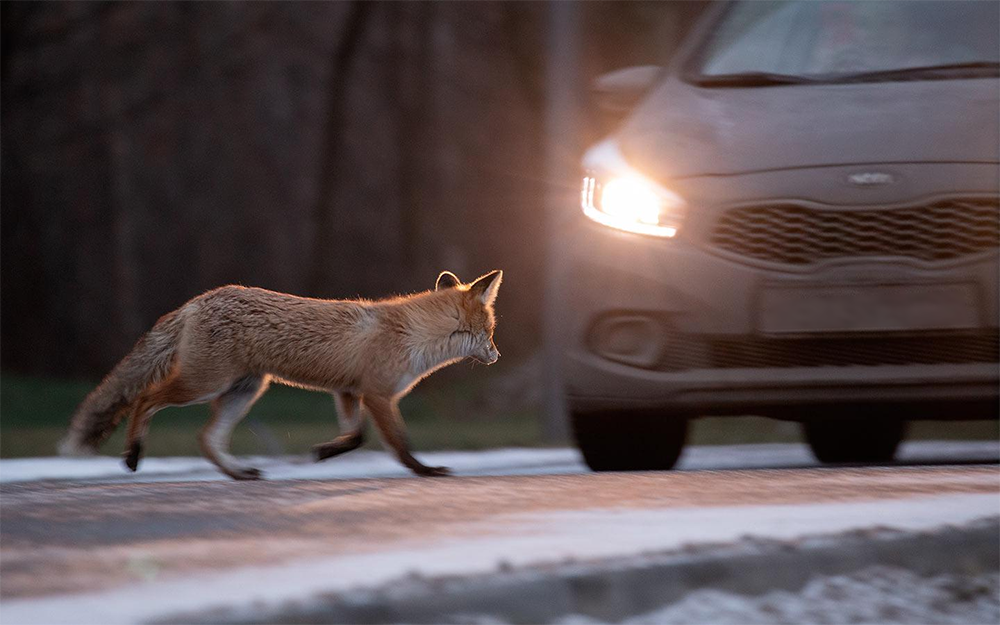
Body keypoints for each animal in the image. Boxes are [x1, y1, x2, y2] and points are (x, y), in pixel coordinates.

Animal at [58, 270, 503, 480]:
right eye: (490, 333)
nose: (498, 355)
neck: (412, 334)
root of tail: (198, 301)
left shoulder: (348, 391)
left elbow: (355, 437)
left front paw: (323, 452)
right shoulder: (377, 395)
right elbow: (399, 443)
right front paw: (426, 471)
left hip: (243, 391)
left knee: (206, 438)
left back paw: (239, 474)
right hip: (204, 385)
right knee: (145, 399)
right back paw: (133, 454)